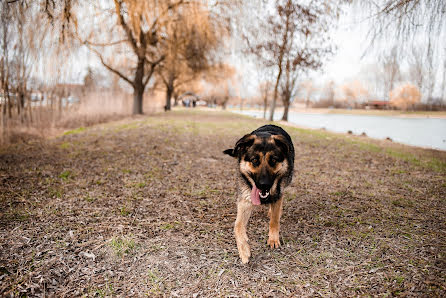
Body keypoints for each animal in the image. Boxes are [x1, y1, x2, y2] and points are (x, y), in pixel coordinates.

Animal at [225, 124, 294, 264]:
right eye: (254, 160)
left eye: (273, 160)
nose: (264, 185)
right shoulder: (245, 201)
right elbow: (237, 226)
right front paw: (244, 250)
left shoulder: (278, 195)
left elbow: (274, 220)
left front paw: (273, 239)